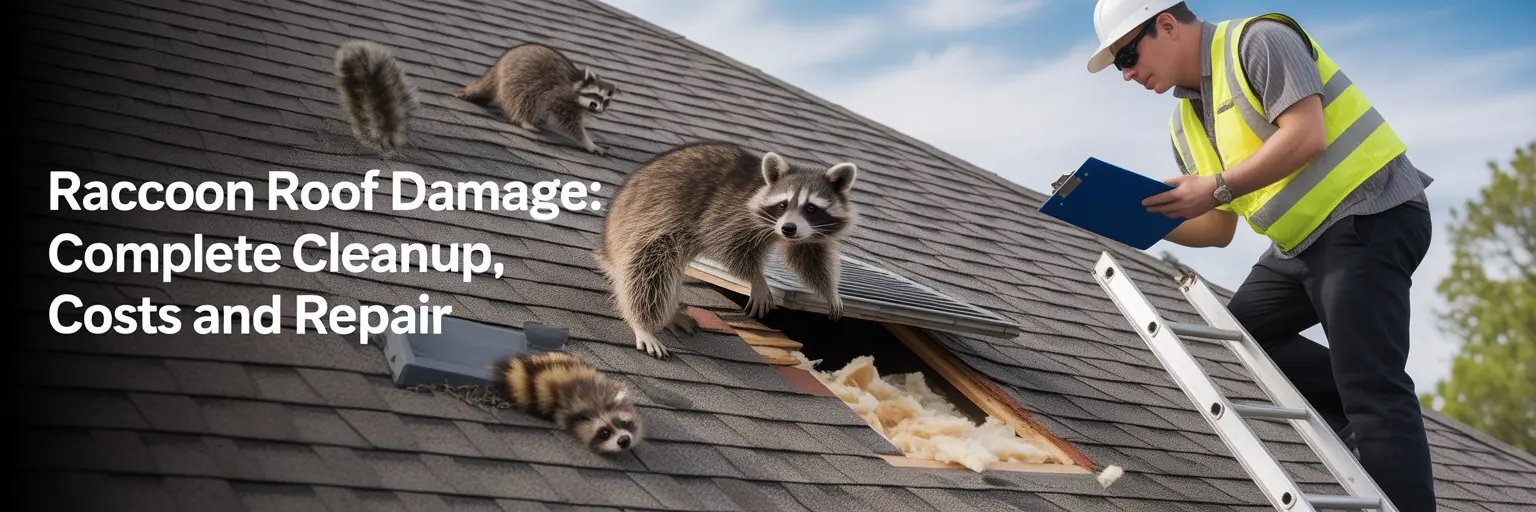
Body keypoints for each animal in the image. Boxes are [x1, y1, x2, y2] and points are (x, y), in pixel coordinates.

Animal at [455, 43, 618, 155]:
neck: (578, 85)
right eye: (596, 96)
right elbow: (565, 118)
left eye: (606, 101)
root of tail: (499, 65)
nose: (599, 109)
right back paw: (524, 120)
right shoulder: (561, 95)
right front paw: (587, 142)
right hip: (518, 76)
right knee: (526, 96)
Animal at [595, 141, 859, 359]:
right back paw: (642, 323)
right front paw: (757, 278)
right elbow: (727, 246)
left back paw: (668, 314)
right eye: (783, 204)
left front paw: (830, 290)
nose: (788, 228)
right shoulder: (729, 211)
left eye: (811, 208)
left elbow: (809, 256)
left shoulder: (807, 233)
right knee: (650, 263)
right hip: (639, 223)